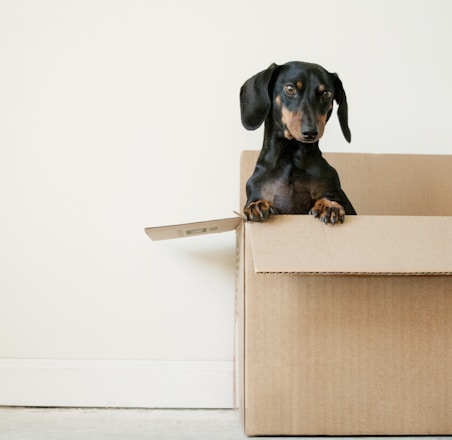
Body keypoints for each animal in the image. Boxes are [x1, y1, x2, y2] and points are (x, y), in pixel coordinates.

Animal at [240, 61, 356, 223]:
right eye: (290, 88)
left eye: (326, 94)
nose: (310, 132)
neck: (291, 157)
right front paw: (257, 205)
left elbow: (329, 198)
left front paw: (329, 205)